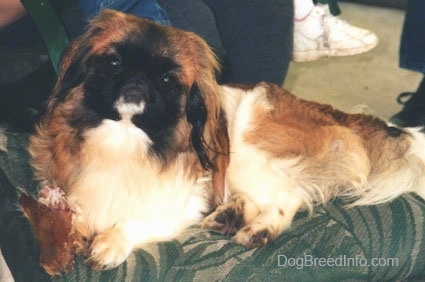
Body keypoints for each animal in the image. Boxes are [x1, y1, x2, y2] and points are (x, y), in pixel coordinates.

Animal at [28, 10, 424, 270]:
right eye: (113, 62)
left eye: (168, 80)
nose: (137, 79)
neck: (125, 138)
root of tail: (327, 111)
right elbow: (72, 214)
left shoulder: (179, 204)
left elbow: (135, 220)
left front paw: (109, 243)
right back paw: (231, 216)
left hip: (243, 153)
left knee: (289, 195)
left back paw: (259, 230)